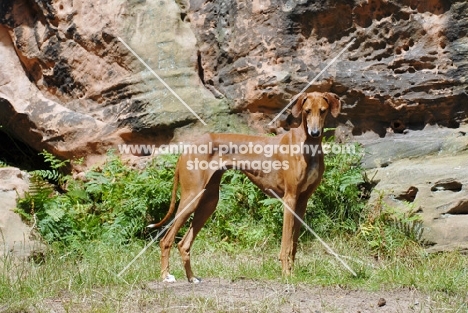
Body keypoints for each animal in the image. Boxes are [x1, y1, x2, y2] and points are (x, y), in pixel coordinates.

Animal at [154, 91, 340, 282]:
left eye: (323, 111)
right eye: (307, 110)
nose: (315, 132)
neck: (307, 144)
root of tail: (187, 148)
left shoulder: (302, 201)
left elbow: (293, 245)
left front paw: (292, 272)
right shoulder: (290, 199)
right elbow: (286, 244)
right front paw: (286, 275)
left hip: (208, 202)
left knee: (184, 244)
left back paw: (191, 277)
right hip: (192, 197)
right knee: (166, 240)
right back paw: (166, 276)